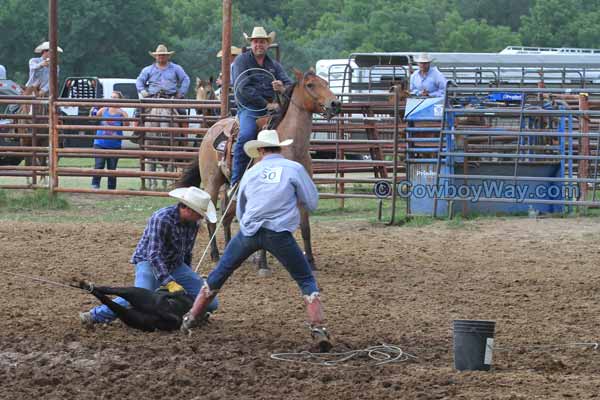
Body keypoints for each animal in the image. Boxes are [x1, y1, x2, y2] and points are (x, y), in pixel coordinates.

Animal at [177, 70, 342, 272]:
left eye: (326, 82)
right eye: (310, 84)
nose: (335, 103)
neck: (290, 146)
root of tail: (210, 131)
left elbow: (305, 227)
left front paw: (310, 262)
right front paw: (263, 263)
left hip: (230, 187)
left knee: (226, 216)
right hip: (212, 183)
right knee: (211, 218)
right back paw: (215, 254)